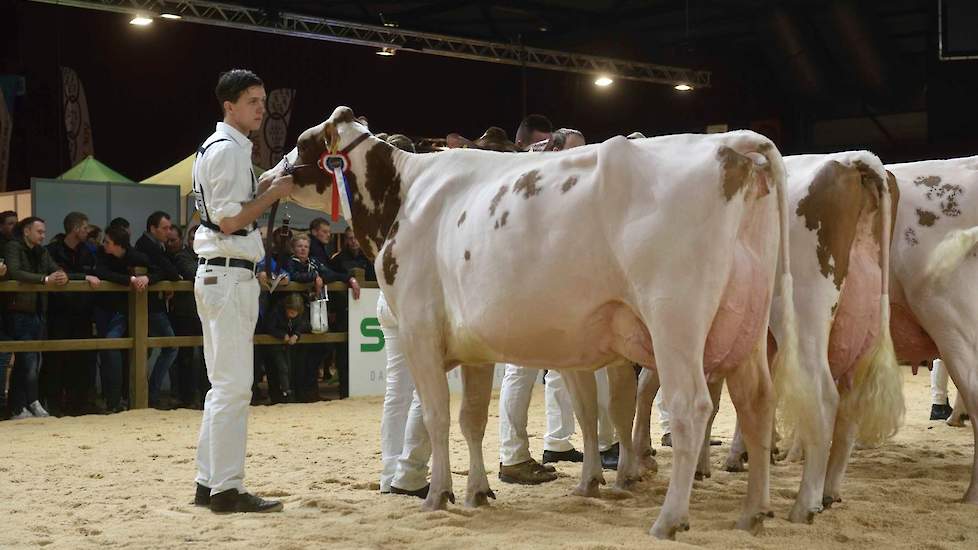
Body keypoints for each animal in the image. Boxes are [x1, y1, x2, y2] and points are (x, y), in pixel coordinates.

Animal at [270, 106, 804, 540]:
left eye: (301, 142)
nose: (269, 177)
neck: (404, 197)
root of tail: (732, 145)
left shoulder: (420, 329)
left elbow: (438, 416)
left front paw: (438, 494)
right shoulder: (475, 346)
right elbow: (471, 419)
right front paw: (478, 491)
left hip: (675, 320)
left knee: (692, 407)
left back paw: (670, 519)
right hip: (748, 324)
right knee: (756, 403)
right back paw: (753, 512)